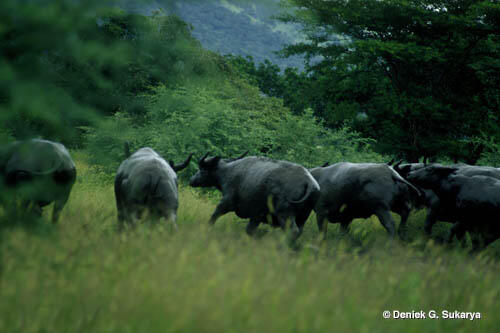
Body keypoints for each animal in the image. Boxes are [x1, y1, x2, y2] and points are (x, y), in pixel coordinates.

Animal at [188, 154, 320, 239]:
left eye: (203, 169)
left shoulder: (227, 202)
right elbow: (249, 230)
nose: (191, 180)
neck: (228, 172)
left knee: (292, 232)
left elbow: (215, 215)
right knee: (298, 232)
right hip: (302, 217)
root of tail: (309, 182)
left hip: (285, 214)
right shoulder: (256, 216)